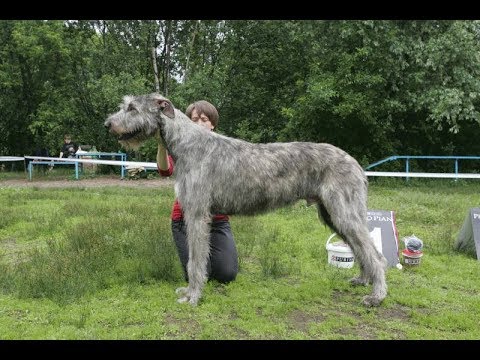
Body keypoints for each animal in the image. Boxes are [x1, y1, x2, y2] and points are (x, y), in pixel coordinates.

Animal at [106, 93, 390, 306]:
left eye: (131, 108)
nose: (107, 124)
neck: (186, 142)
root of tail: (356, 163)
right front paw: (189, 292)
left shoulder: (197, 214)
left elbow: (195, 261)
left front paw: (194, 296)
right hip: (333, 214)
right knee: (362, 249)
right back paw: (363, 280)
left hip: (344, 211)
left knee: (375, 254)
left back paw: (376, 296)